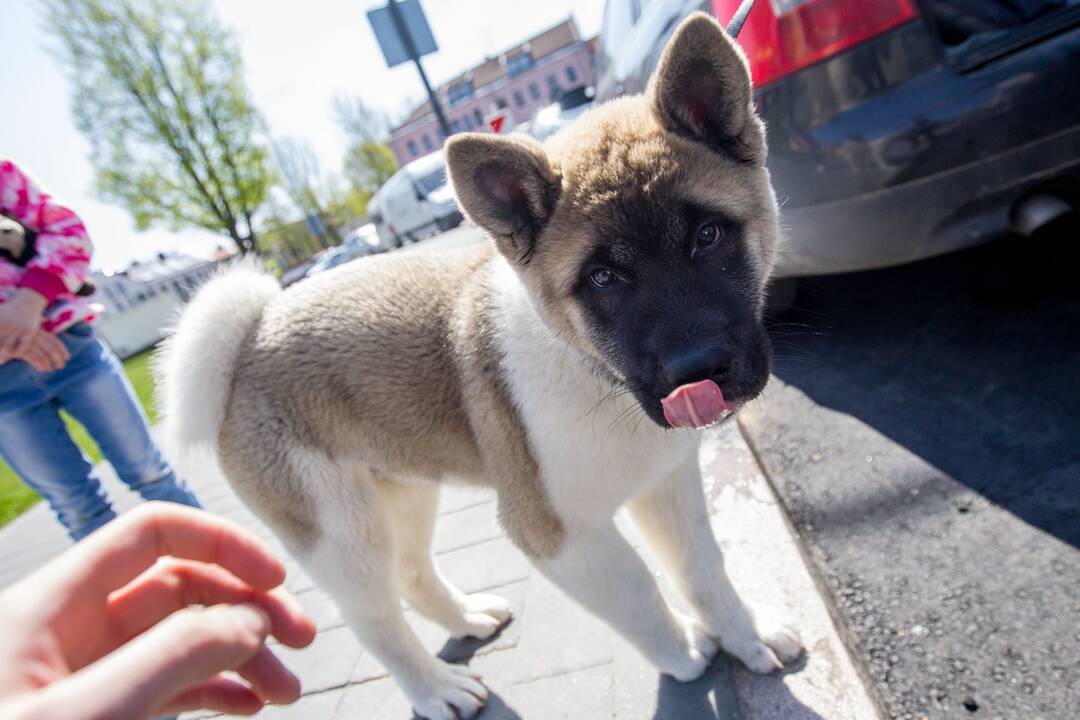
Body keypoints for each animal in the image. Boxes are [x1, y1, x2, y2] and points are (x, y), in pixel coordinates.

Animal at [159, 12, 803, 720]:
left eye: (708, 237)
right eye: (603, 279)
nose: (697, 368)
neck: (588, 369)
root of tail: (251, 333)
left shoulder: (666, 484)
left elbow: (702, 569)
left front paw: (746, 636)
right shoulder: (556, 534)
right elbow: (640, 594)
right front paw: (685, 651)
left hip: (403, 488)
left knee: (413, 574)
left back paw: (467, 621)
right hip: (340, 533)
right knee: (375, 622)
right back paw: (436, 689)